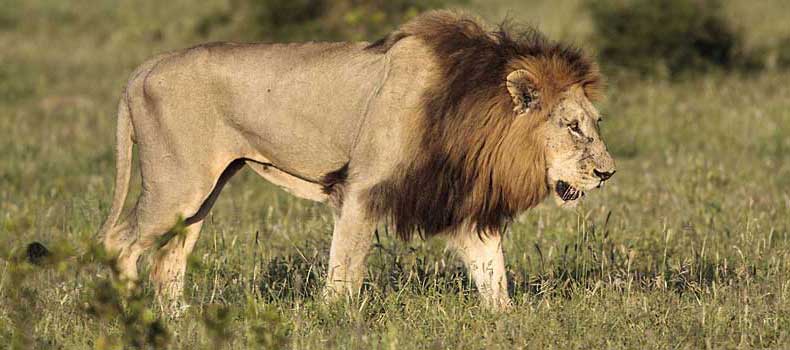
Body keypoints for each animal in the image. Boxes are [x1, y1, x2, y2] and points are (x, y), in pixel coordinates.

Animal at [97, 10, 620, 308]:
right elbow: (345, 274)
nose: (607, 172)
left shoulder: (463, 206)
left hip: (202, 193)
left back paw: (176, 321)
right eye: (572, 126)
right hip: (177, 186)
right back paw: (133, 318)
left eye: (596, 122)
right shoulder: (362, 191)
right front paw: (334, 322)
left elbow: (494, 279)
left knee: (169, 261)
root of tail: (143, 68)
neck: (470, 114)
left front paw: (505, 324)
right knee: (120, 244)